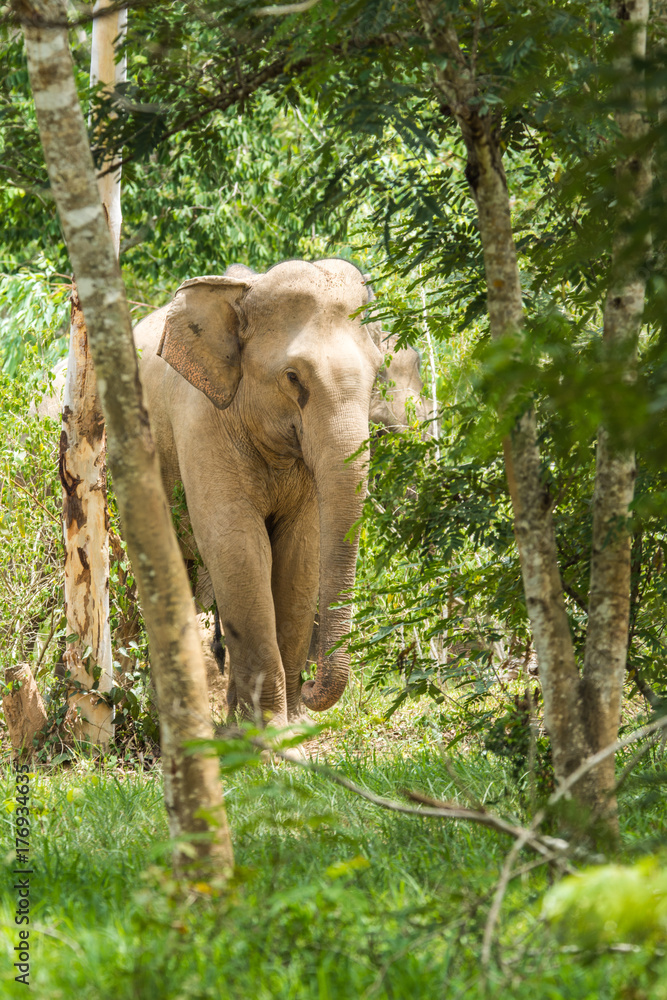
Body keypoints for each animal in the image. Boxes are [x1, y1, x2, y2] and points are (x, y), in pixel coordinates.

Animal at [133, 258, 383, 728]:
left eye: (378, 375)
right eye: (292, 377)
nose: (311, 685)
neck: (241, 294)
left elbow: (299, 554)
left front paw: (291, 727)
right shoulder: (201, 421)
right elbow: (238, 548)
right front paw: (269, 733)